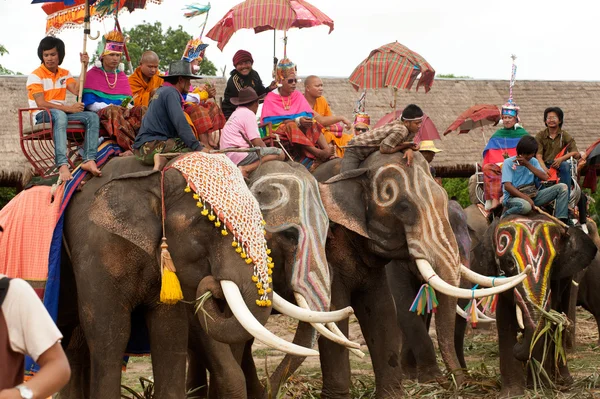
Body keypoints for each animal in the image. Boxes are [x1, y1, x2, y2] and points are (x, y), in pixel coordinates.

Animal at [59, 157, 346, 399]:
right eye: (288, 235)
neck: (152, 177)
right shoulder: (95, 251)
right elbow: (110, 333)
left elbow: (171, 333)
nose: (212, 284)